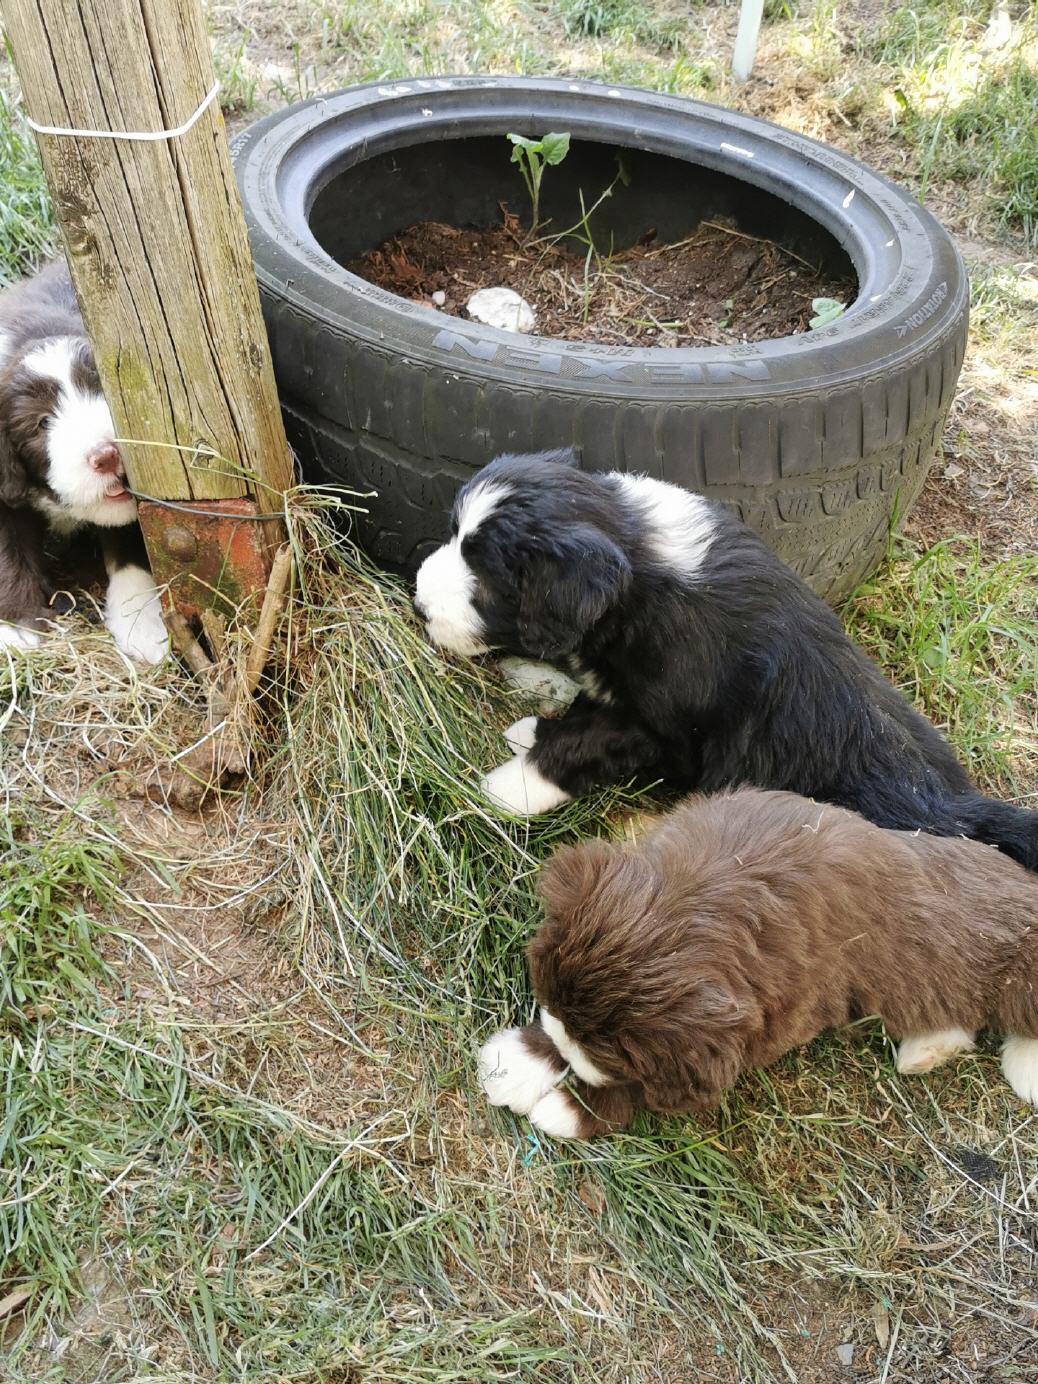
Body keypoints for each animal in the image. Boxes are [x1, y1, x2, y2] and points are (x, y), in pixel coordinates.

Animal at [0, 261, 168, 663]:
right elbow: (6, 549)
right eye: (43, 422)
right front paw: (16, 626)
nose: (107, 456)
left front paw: (141, 623)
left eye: (107, 391)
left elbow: (130, 546)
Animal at [414, 451, 1038, 871]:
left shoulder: (658, 728)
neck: (638, 567)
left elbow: (583, 744)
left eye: (486, 581)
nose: (419, 603)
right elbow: (584, 712)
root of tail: (950, 810)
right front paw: (532, 732)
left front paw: (504, 790)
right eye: (452, 534)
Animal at [478, 788, 1038, 1139]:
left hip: (1016, 973)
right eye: (554, 1006)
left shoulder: (761, 1030)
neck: (707, 897)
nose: (570, 1052)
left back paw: (1022, 1070)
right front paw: (519, 1062)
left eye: (611, 1055)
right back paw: (922, 1053)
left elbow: (645, 1088)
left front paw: (570, 1109)